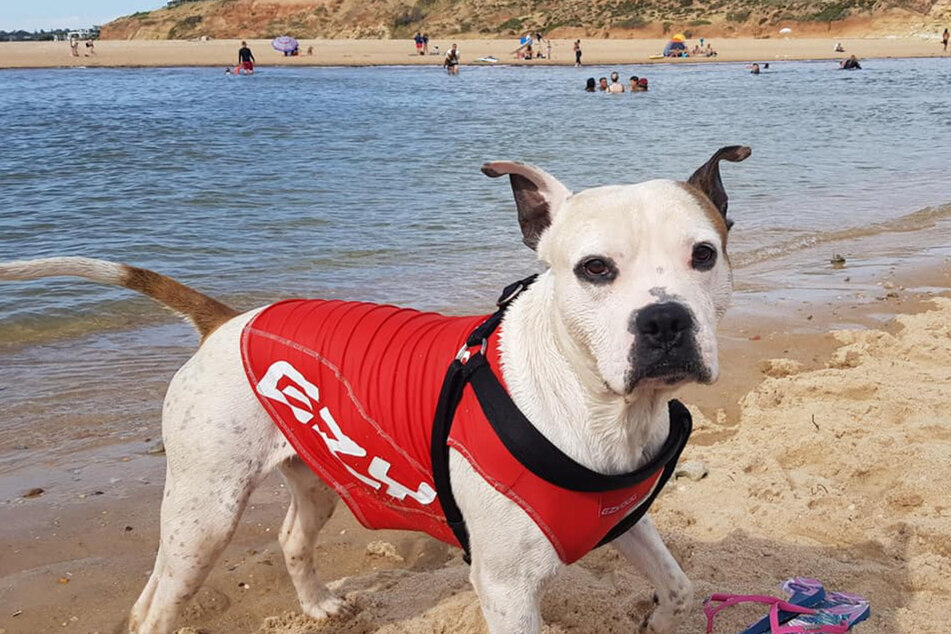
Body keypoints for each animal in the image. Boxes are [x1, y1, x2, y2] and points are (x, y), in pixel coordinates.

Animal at [0, 146, 752, 628]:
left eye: (703, 255)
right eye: (595, 268)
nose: (663, 320)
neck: (604, 414)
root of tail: (226, 320)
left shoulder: (624, 522)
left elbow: (679, 589)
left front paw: (656, 619)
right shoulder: (507, 589)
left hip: (309, 479)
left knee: (287, 541)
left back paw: (317, 605)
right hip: (205, 509)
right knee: (159, 602)